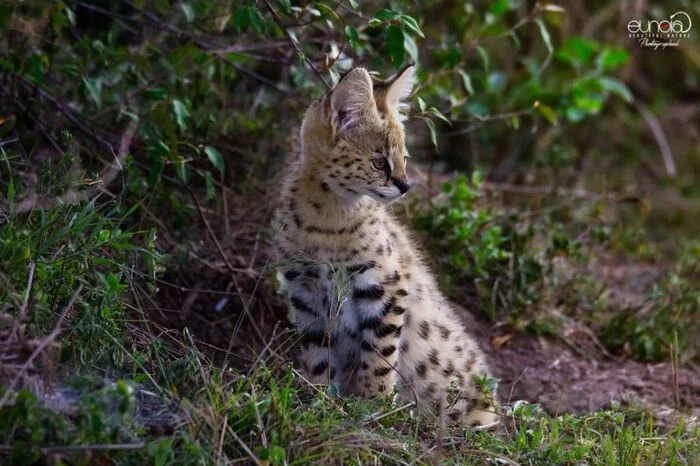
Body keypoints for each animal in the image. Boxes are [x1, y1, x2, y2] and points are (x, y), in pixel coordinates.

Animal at [274, 64, 498, 426]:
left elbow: (380, 354)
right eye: (380, 162)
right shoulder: (305, 291)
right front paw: (317, 400)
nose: (406, 186)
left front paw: (375, 408)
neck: (326, 215)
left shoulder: (384, 285)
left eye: (404, 158)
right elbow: (318, 353)